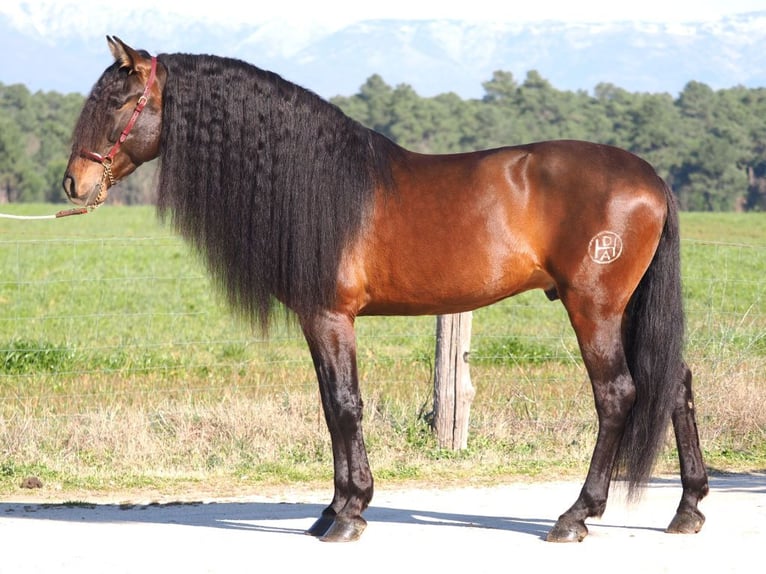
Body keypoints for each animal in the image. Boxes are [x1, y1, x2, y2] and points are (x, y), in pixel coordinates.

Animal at [63, 37, 712, 544]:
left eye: (119, 101)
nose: (73, 182)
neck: (317, 183)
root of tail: (651, 178)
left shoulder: (331, 316)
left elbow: (345, 404)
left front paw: (350, 513)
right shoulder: (317, 319)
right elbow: (331, 407)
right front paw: (332, 510)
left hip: (594, 307)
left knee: (618, 395)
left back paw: (576, 515)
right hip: (625, 310)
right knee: (674, 383)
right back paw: (687, 508)